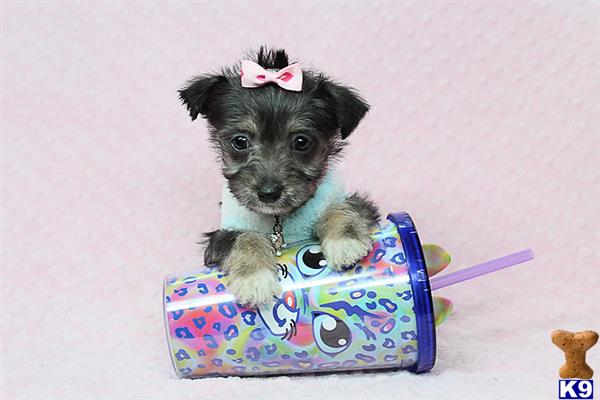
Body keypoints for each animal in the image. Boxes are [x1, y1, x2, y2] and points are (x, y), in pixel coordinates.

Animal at [178, 48, 382, 308]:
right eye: (240, 141)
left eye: (302, 142)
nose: (268, 194)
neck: (278, 219)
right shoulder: (222, 235)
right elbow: (244, 237)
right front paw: (254, 279)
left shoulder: (355, 203)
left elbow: (342, 208)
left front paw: (345, 243)